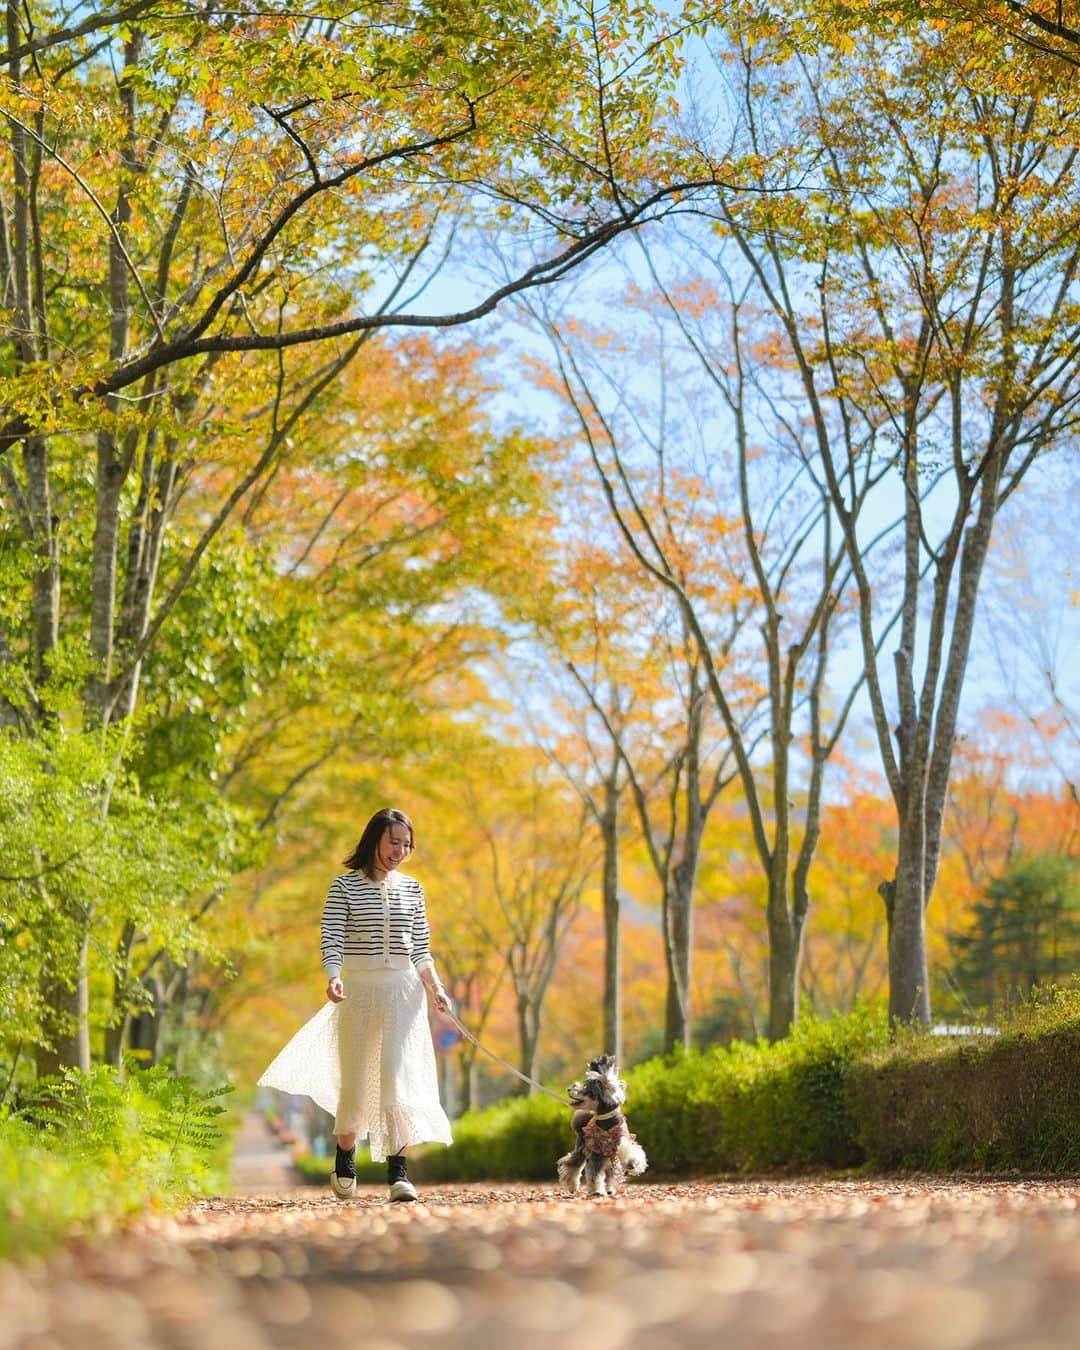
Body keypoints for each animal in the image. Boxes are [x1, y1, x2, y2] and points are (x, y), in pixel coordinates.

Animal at [561, 1047, 645, 1198]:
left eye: (585, 1087)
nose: (569, 1089)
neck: (606, 1121)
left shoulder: (622, 1139)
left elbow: (630, 1150)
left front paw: (633, 1163)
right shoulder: (596, 1151)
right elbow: (594, 1174)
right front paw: (597, 1191)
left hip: (610, 1157)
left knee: (611, 1173)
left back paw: (610, 1188)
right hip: (582, 1149)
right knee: (573, 1166)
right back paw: (573, 1186)